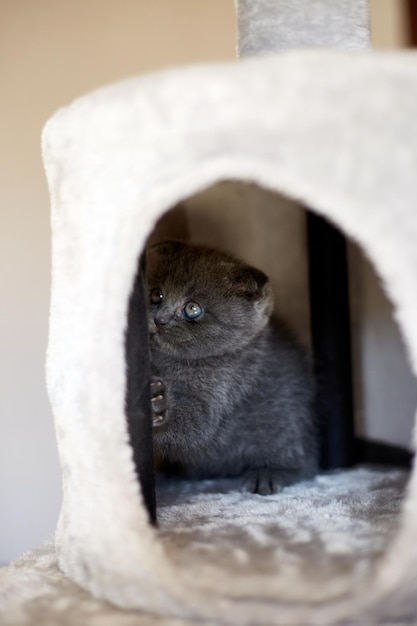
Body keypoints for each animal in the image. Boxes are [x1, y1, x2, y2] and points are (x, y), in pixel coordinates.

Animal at [148, 239, 316, 492]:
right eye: (156, 295)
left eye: (192, 308)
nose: (159, 320)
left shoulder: (224, 389)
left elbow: (196, 426)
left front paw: (159, 406)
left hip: (287, 427)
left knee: (302, 465)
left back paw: (267, 475)